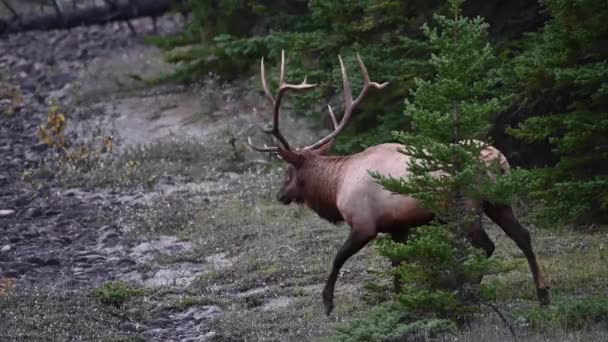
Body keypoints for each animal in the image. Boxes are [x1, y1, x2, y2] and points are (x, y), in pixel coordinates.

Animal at [247, 49, 552, 314]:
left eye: (288, 171)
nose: (280, 195)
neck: (336, 186)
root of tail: (499, 161)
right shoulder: (398, 226)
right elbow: (398, 265)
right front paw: (399, 301)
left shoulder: (364, 224)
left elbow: (338, 258)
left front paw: (327, 302)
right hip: (498, 201)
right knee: (523, 236)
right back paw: (542, 294)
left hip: (466, 206)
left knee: (487, 246)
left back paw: (468, 292)